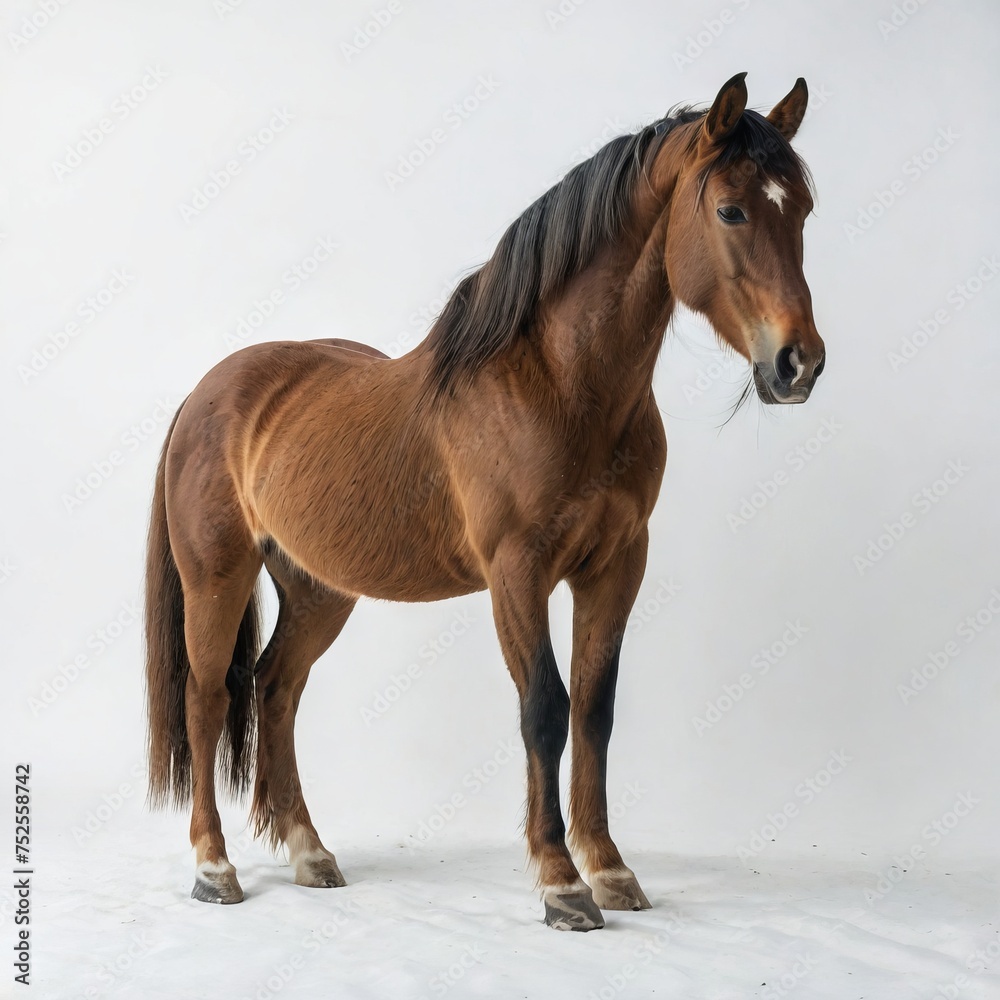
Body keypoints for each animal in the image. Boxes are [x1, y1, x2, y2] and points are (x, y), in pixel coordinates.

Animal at [144, 72, 824, 931]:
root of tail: (207, 392)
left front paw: (611, 870)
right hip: (217, 576)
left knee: (276, 688)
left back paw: (309, 852)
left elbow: (594, 710)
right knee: (207, 699)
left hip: (319, 590)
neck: (559, 386)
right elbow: (544, 708)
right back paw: (214, 866)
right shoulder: (516, 572)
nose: (799, 364)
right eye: (731, 210)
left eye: (802, 210)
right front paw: (563, 884)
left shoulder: (617, 565)